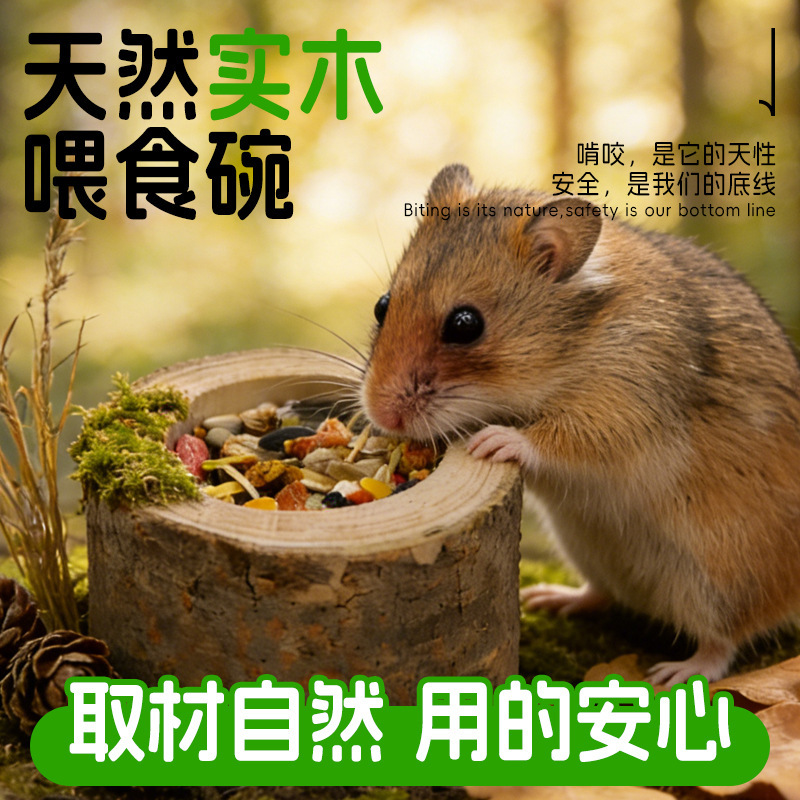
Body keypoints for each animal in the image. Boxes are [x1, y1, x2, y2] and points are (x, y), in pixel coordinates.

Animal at [360, 163, 800, 687]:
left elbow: (553, 440)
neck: (576, 340)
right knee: (602, 593)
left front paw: (493, 440)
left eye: (465, 325)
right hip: (588, 548)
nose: (381, 415)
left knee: (724, 641)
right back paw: (552, 599)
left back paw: (675, 672)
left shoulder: (619, 411)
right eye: (382, 304)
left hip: (719, 576)